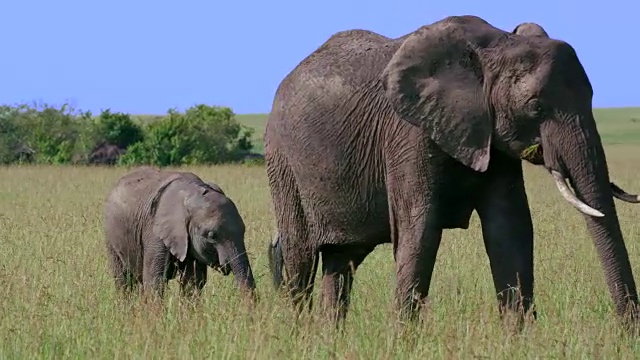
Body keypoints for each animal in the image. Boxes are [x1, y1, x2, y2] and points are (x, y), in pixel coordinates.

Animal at [104, 166, 255, 298]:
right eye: (211, 236)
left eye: (243, 231)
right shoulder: (155, 231)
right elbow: (155, 281)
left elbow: (192, 282)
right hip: (110, 237)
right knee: (123, 279)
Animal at [264, 15, 640, 326]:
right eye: (535, 107)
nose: (626, 331)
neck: (497, 46)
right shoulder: (409, 132)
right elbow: (420, 229)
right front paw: (402, 342)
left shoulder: (492, 136)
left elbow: (510, 228)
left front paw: (518, 340)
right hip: (282, 162)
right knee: (299, 259)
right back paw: (299, 336)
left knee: (340, 263)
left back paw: (330, 338)